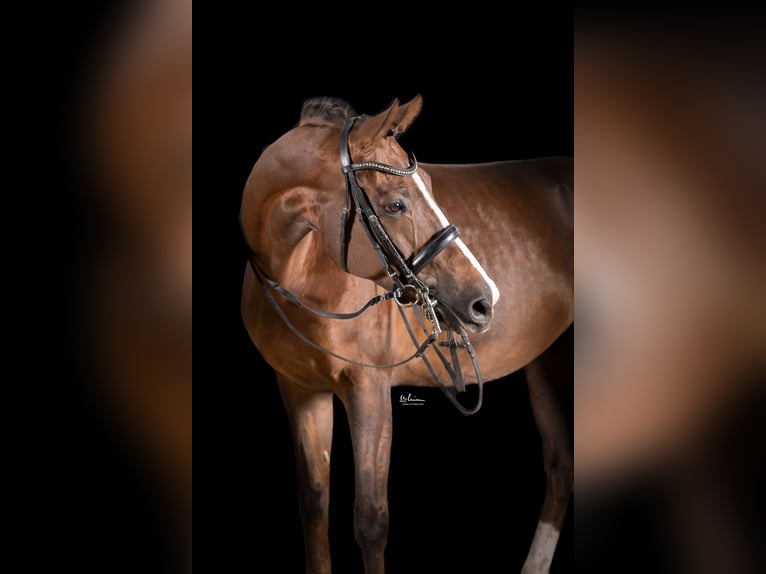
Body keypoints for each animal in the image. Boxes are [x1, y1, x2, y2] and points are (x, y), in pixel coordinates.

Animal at [240, 95, 573, 574]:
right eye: (396, 205)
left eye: (430, 186)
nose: (485, 299)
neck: (300, 272)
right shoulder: (300, 389)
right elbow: (314, 505)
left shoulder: (369, 388)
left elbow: (371, 521)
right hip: (547, 360)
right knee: (561, 467)